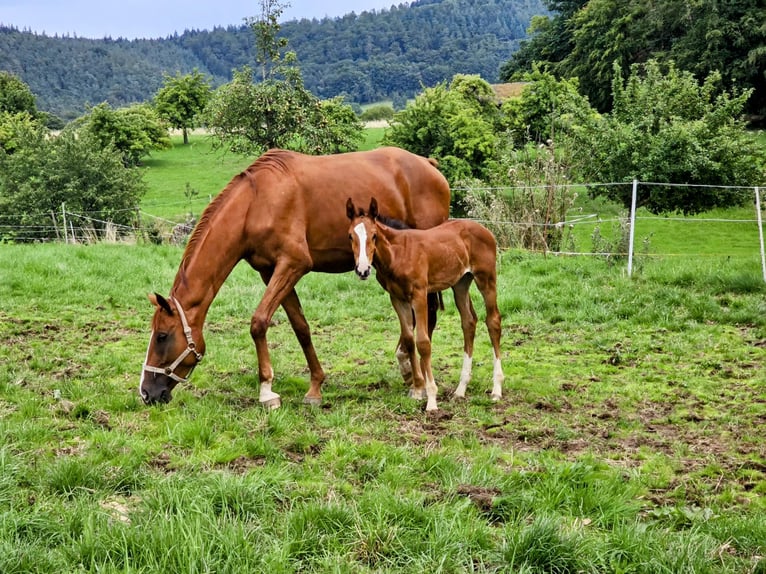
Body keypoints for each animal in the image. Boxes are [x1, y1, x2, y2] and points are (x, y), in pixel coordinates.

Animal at [140, 148, 450, 410]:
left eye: (162, 336)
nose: (146, 392)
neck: (256, 203)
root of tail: (429, 165)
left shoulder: (293, 264)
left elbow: (259, 322)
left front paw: (267, 391)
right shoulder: (271, 272)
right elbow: (300, 327)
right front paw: (315, 387)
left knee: (428, 314)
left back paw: (415, 374)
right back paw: (407, 367)